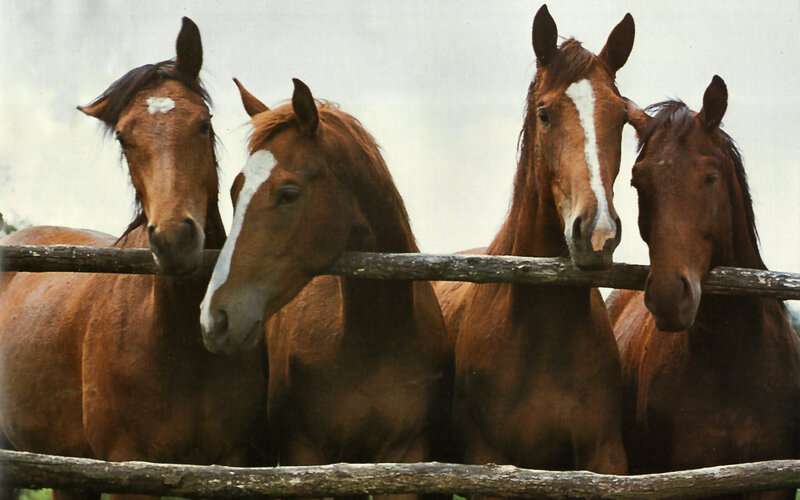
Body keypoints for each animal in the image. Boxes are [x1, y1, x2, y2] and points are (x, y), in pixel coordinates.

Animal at [0, 18, 267, 500]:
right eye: (124, 138)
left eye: (204, 124)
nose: (176, 238)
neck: (178, 343)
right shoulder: (131, 472)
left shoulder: (229, 467)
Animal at [200, 78, 453, 500]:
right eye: (235, 192)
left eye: (288, 193)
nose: (214, 318)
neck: (372, 341)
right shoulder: (308, 457)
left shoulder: (405, 457)